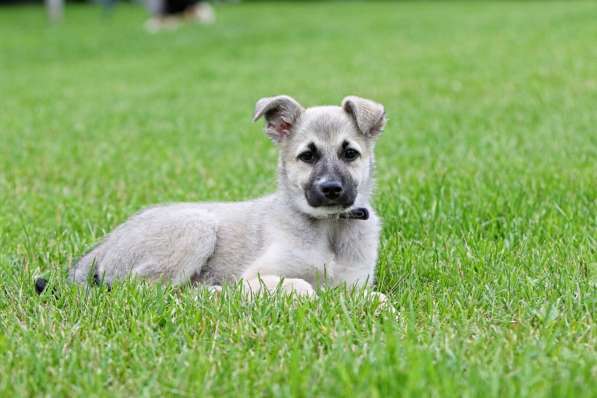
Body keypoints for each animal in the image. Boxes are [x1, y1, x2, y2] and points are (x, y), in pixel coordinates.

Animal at [39, 96, 388, 302]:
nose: (331, 189)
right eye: (307, 156)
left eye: (349, 153)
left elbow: (376, 298)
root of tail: (105, 245)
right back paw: (213, 293)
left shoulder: (355, 284)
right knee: (146, 291)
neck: (330, 229)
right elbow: (304, 287)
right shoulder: (255, 276)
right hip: (196, 227)